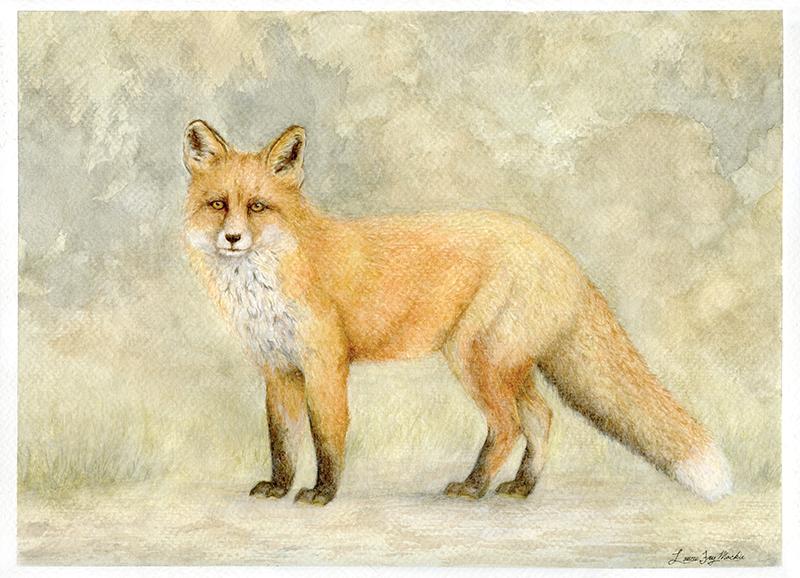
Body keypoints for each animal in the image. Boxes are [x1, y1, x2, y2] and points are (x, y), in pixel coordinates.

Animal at [181, 120, 733, 506]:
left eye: (258, 206)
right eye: (218, 204)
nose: (233, 238)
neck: (266, 281)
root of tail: (561, 253)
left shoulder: (324, 365)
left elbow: (326, 436)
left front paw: (322, 494)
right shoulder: (277, 369)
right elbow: (281, 440)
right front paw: (279, 487)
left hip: (475, 359)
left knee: (509, 426)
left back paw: (474, 487)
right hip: (508, 366)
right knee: (542, 417)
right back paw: (521, 487)